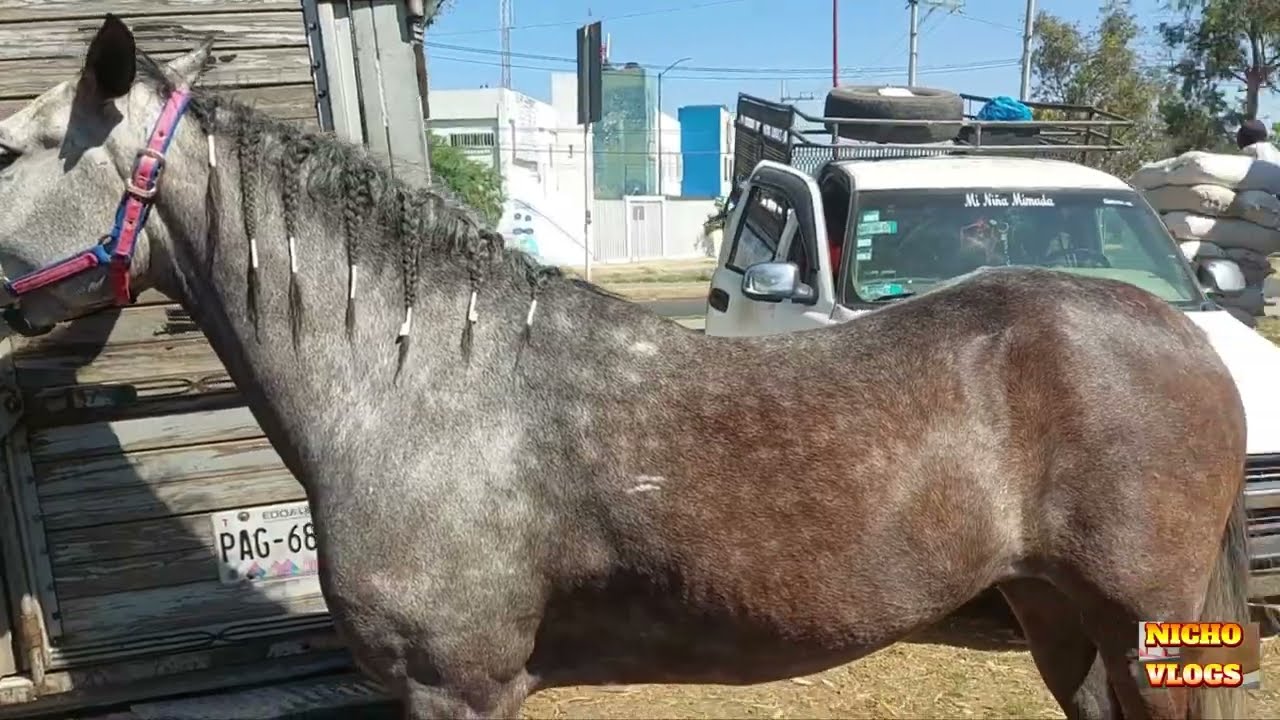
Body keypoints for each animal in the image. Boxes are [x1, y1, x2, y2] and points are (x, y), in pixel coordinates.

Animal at [0, 15, 1250, 720]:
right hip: (1057, 617)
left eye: (10, 146)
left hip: (1139, 628)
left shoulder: (455, 687)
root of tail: (1182, 332)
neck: (415, 387)